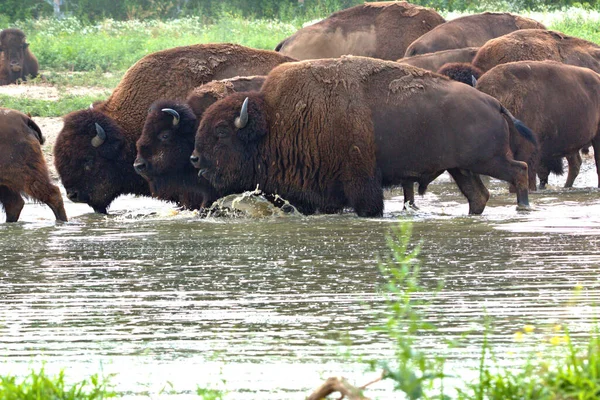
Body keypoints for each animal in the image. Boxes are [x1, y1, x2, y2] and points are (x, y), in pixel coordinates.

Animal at [192, 57, 536, 216]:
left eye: (222, 131)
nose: (195, 158)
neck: (276, 120)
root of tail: (494, 102)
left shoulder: (360, 182)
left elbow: (369, 205)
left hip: (488, 160)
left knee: (519, 170)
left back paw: (523, 207)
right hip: (461, 168)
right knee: (479, 195)